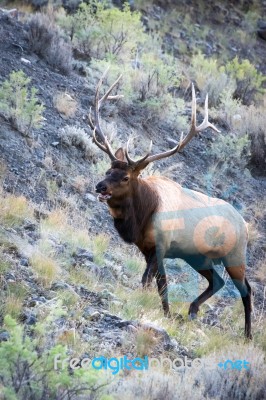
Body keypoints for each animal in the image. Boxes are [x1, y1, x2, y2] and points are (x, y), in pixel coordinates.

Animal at [89, 70, 251, 340]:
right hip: (198, 257)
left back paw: (248, 334)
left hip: (235, 254)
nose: (99, 187)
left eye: (125, 177)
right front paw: (167, 313)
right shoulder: (147, 248)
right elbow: (158, 283)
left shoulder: (161, 245)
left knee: (246, 290)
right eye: (107, 170)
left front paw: (150, 308)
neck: (143, 215)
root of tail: (246, 226)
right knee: (217, 281)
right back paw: (192, 310)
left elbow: (151, 281)